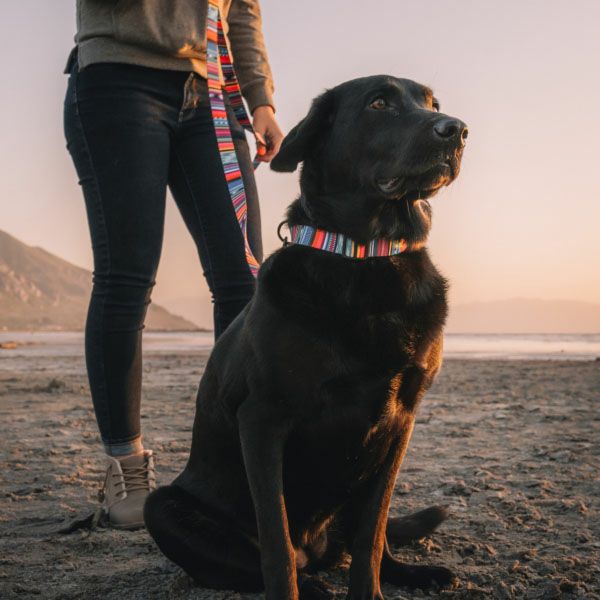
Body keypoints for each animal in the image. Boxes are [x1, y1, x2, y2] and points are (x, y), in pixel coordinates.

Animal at [145, 76, 468, 600]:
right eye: (380, 103)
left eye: (431, 102)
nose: (456, 130)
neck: (367, 256)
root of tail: (316, 550)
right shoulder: (262, 419)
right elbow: (275, 547)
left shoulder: (403, 420)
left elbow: (372, 538)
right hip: (161, 508)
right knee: (259, 563)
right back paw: (314, 586)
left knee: (369, 539)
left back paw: (414, 573)